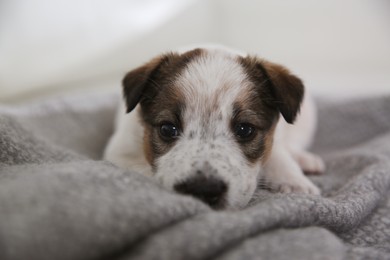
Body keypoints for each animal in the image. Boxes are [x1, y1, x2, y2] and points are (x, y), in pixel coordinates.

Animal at [103, 46, 322, 209]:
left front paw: (295, 183)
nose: (203, 189)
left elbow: (278, 154)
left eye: (245, 130)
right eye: (167, 129)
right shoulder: (120, 153)